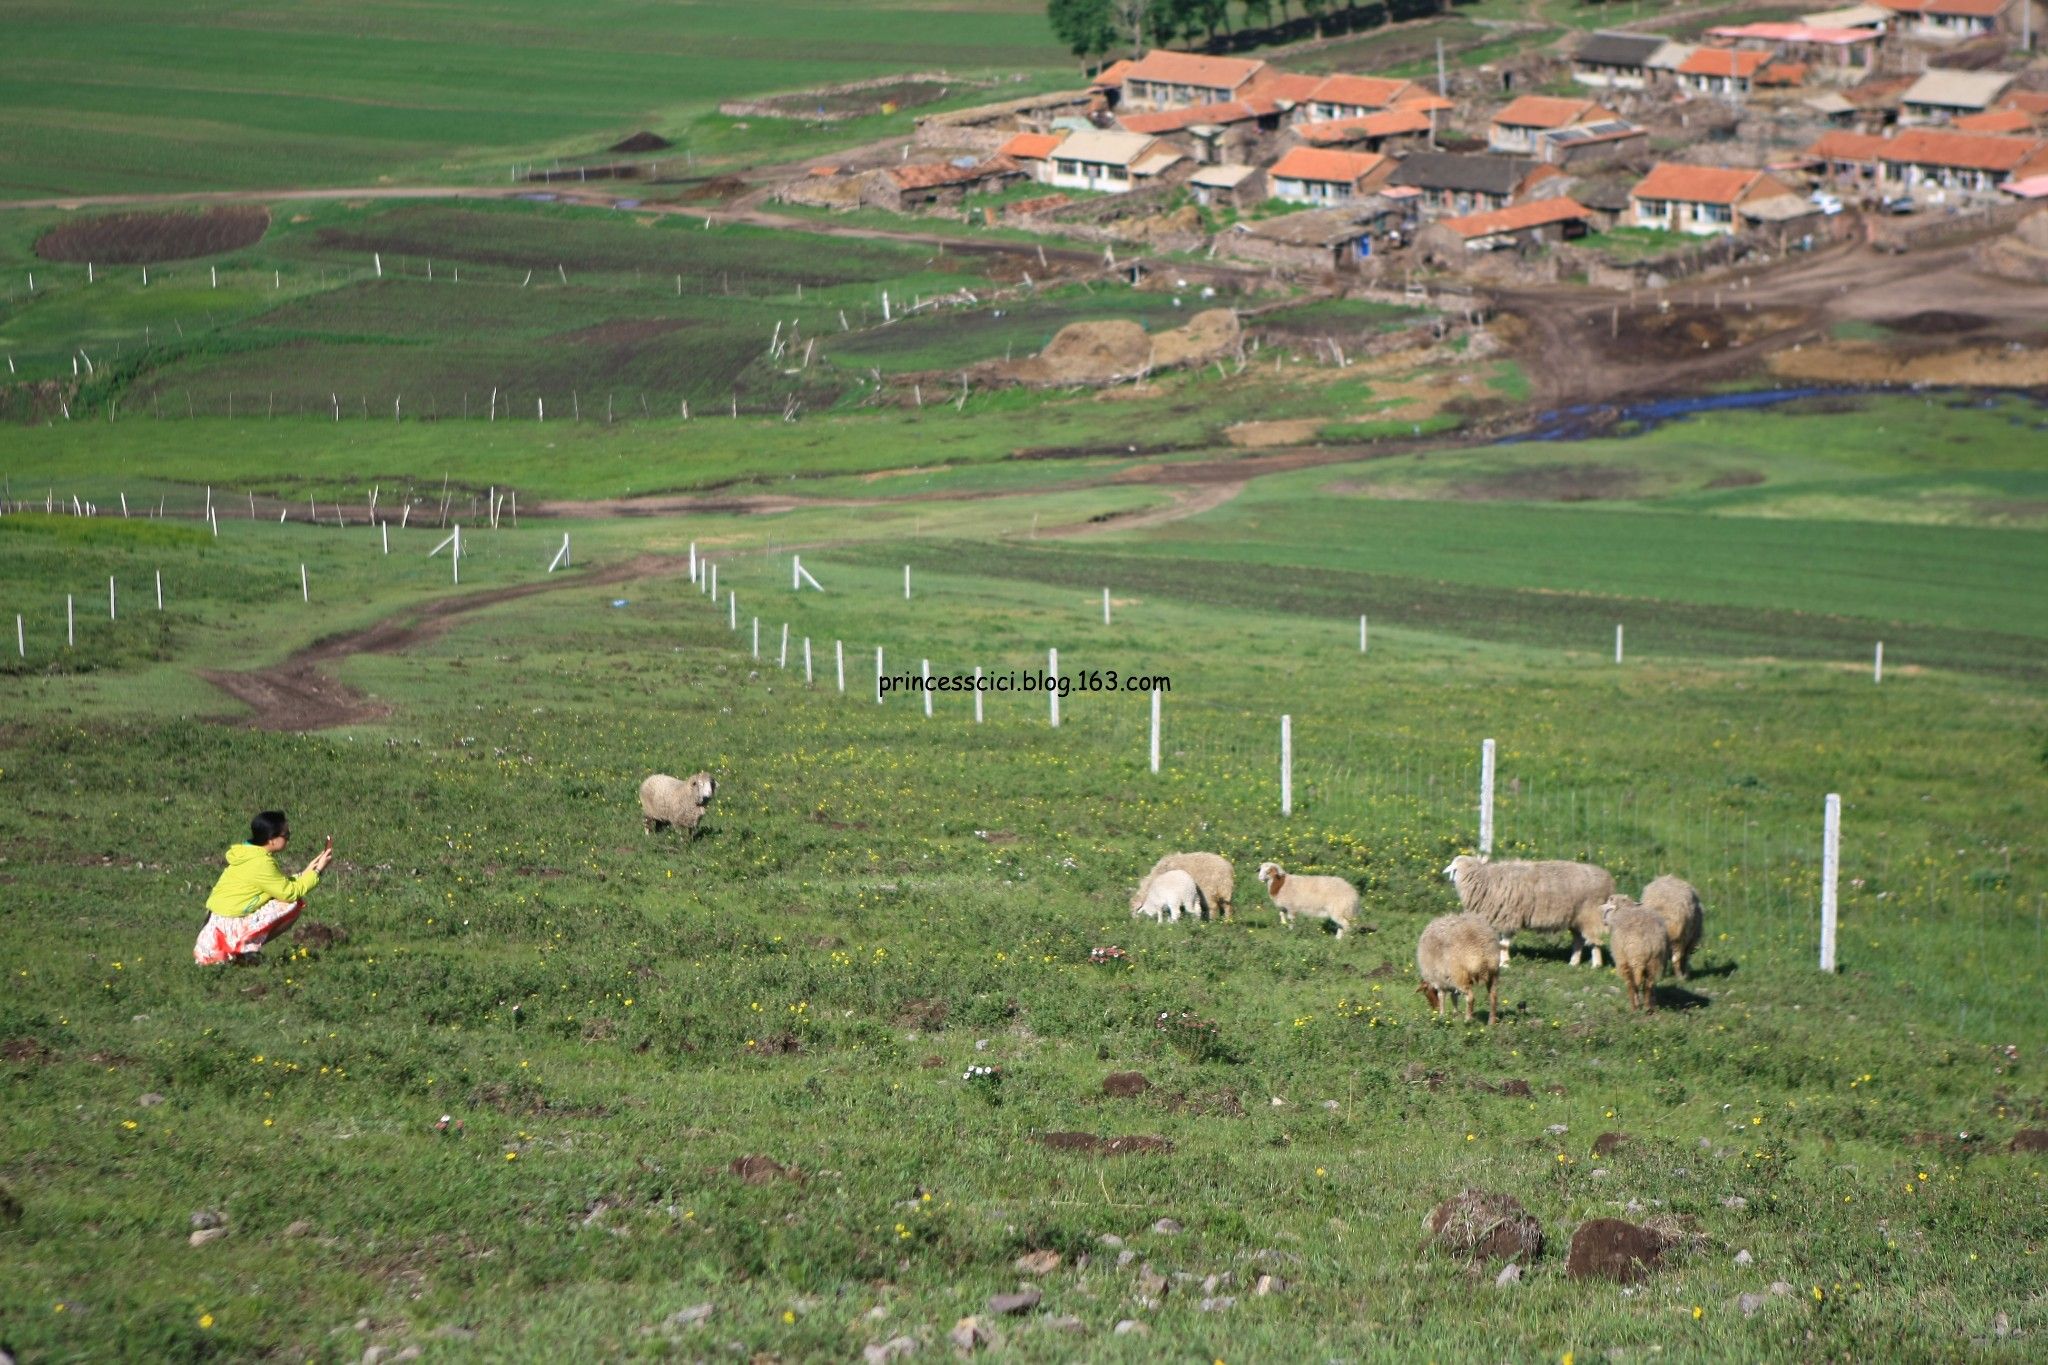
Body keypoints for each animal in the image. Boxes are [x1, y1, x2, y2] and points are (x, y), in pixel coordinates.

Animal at [1441, 855, 1613, 970]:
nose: (1449, 879)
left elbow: (1503, 944)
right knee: (1579, 939)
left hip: (1590, 914)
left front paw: (1504, 964)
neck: (1485, 879)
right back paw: (1574, 962)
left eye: (1453, 868)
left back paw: (1596, 965)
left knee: (1594, 940)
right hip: (1575, 918)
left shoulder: (1508, 917)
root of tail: (1608, 879)